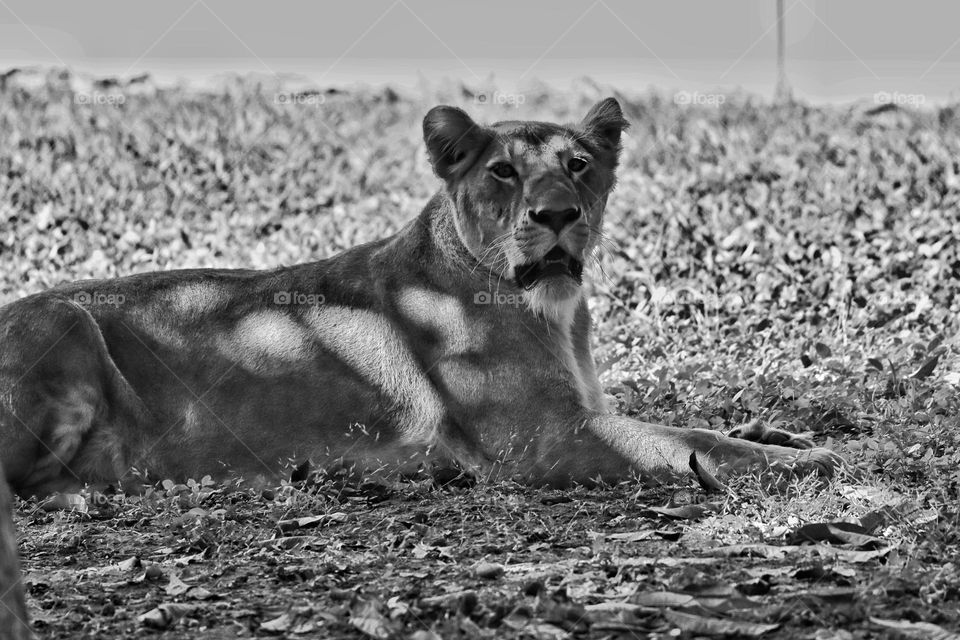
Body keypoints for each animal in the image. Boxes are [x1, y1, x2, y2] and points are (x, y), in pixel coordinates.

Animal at [0, 97, 841, 497]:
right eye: (503, 171)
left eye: (577, 164)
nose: (557, 216)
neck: (555, 312)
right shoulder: (543, 441)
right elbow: (685, 438)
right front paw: (808, 459)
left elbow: (706, 424)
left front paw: (784, 433)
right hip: (61, 322)